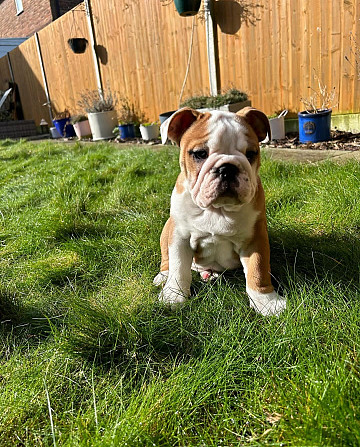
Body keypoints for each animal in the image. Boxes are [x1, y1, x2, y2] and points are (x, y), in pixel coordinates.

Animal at [153, 107, 286, 316]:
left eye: (251, 153)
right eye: (200, 154)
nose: (228, 168)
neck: (218, 209)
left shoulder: (255, 239)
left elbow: (257, 269)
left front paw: (267, 302)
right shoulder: (179, 237)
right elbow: (179, 268)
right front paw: (173, 296)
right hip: (167, 230)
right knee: (167, 260)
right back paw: (164, 276)